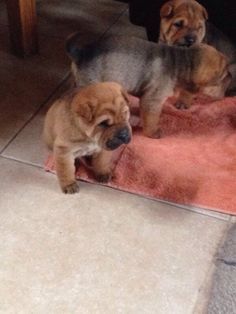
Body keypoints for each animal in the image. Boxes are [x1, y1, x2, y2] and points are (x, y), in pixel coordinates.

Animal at [65, 33, 230, 138]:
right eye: (223, 76)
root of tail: (82, 52)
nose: (232, 77)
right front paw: (153, 133)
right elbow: (152, 119)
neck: (181, 62)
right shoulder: (153, 99)